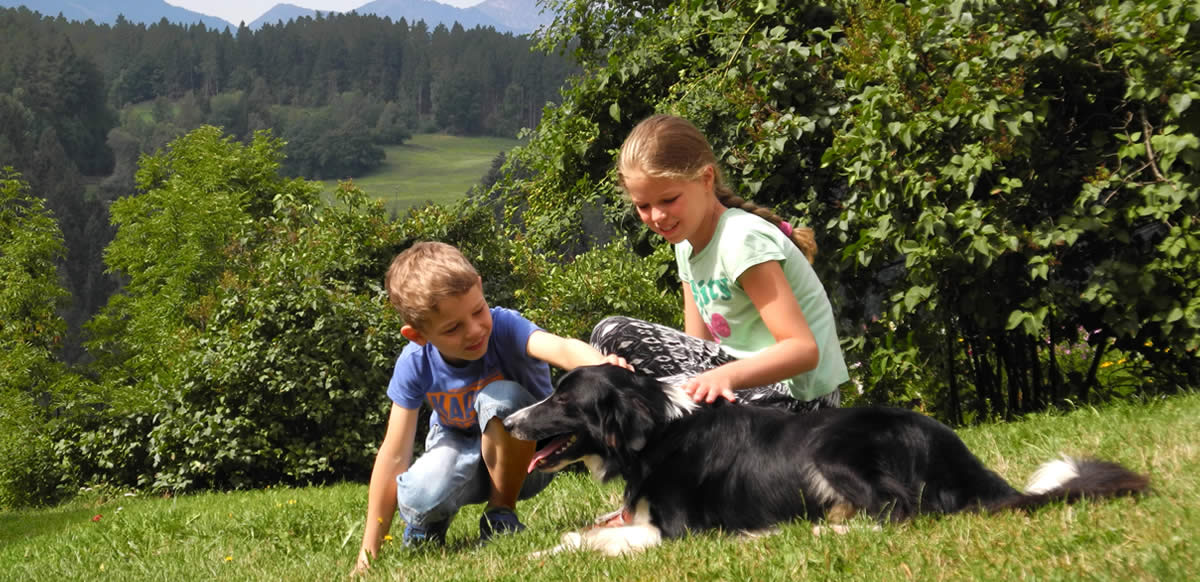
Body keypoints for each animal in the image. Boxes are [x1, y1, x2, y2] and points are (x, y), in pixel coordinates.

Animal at [501, 362, 1147, 554]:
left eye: (562, 400)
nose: (506, 423)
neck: (653, 432)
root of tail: (956, 453)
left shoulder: (676, 532)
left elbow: (596, 539)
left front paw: (547, 553)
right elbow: (586, 531)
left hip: (831, 446)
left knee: (897, 515)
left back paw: (802, 532)